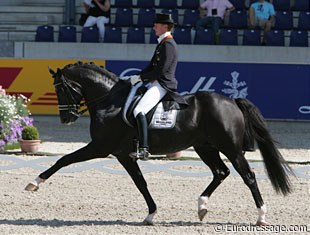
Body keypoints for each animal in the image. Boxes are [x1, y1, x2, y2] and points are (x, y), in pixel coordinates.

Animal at [24, 61, 294, 225]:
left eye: (60, 89)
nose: (66, 118)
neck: (109, 101)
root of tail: (232, 101)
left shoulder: (100, 148)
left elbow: (64, 159)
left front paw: (34, 183)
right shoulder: (122, 154)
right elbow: (140, 183)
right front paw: (151, 215)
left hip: (230, 148)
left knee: (247, 175)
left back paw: (261, 216)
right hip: (205, 147)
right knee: (221, 172)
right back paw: (202, 207)